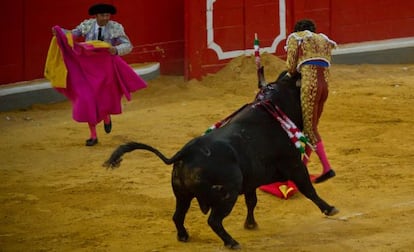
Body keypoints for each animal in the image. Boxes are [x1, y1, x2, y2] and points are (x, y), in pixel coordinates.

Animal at [104, 72, 340, 249]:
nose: (297, 73)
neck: (274, 106)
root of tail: (186, 153)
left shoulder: (252, 179)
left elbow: (252, 201)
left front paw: (250, 224)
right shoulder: (294, 165)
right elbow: (308, 189)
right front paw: (329, 208)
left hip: (182, 194)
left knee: (178, 216)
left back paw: (184, 236)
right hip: (228, 192)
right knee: (214, 220)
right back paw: (231, 242)